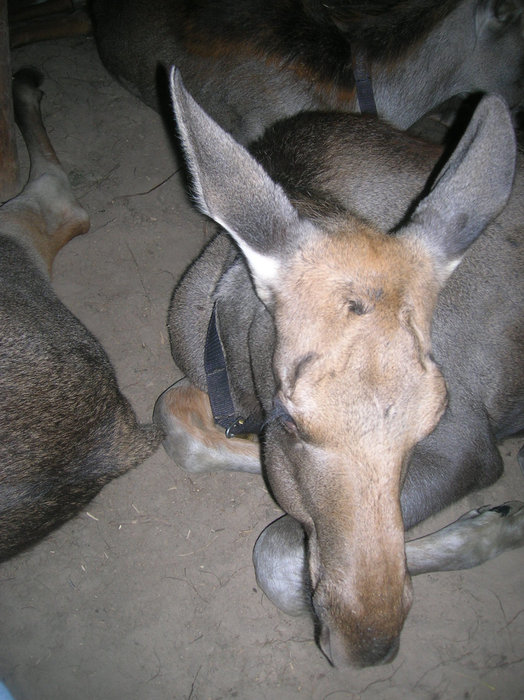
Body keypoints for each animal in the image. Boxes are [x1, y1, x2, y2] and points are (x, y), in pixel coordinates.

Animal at [155, 71, 524, 668]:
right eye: (288, 419)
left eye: (433, 416)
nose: (365, 647)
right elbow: (178, 426)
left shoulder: (470, 444)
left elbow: (279, 554)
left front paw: (495, 526)